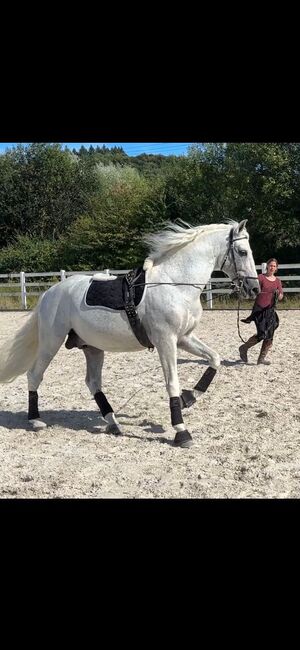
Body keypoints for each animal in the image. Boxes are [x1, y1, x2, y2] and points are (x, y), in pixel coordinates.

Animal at [0, 218, 258, 446]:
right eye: (242, 252)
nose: (254, 288)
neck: (175, 284)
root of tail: (50, 293)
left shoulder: (184, 338)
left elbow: (214, 359)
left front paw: (189, 398)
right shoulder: (166, 341)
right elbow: (172, 383)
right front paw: (181, 431)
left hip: (92, 347)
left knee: (93, 382)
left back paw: (113, 423)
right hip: (51, 342)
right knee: (35, 375)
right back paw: (35, 420)